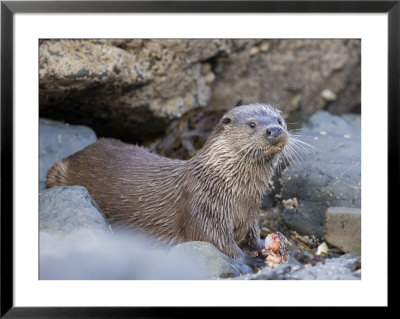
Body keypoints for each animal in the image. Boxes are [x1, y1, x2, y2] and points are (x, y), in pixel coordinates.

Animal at [47, 104, 290, 270]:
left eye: (279, 120)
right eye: (252, 124)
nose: (274, 130)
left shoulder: (250, 215)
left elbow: (251, 237)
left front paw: (264, 248)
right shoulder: (202, 207)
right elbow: (215, 242)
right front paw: (252, 260)